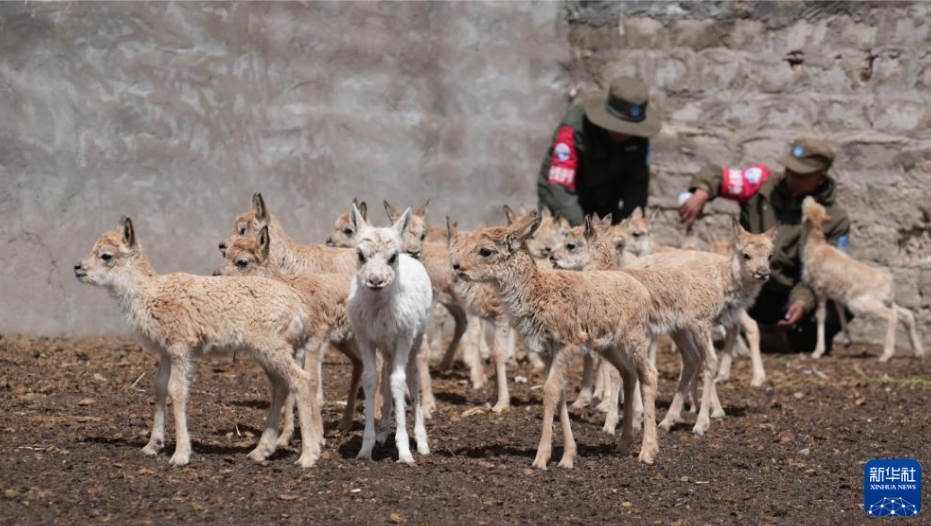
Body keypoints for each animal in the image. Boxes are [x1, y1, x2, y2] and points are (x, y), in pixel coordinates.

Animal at [74, 219, 320, 470]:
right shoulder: (165, 351)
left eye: (106, 255)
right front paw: (152, 446)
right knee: (280, 384)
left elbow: (177, 389)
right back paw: (261, 451)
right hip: (266, 350)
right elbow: (159, 387)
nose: (78, 267)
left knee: (300, 379)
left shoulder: (180, 346)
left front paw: (180, 454)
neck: (149, 294)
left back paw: (308, 456)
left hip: (271, 346)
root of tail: (298, 306)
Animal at [348, 206, 436, 466]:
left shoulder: (404, 337)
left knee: (412, 377)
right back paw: (383, 432)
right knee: (386, 373)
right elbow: (371, 379)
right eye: (360, 254)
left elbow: (399, 381)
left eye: (392, 256)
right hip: (386, 346)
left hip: (416, 339)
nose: (375, 280)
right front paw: (366, 448)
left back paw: (422, 442)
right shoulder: (364, 338)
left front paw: (405, 452)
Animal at [800, 198, 924, 364]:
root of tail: (889, 284)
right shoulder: (835, 294)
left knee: (892, 316)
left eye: (807, 208)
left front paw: (817, 352)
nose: (807, 198)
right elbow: (839, 310)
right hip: (885, 302)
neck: (815, 247)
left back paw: (886, 355)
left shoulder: (820, 291)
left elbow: (820, 315)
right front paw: (847, 341)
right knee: (907, 315)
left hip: (860, 303)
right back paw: (918, 352)